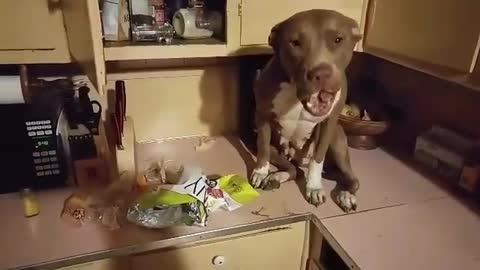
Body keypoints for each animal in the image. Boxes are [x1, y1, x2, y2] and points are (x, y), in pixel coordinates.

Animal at [251, 8, 360, 213]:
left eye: (338, 40)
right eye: (295, 42)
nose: (321, 74)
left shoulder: (329, 123)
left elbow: (317, 159)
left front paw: (314, 187)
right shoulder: (262, 116)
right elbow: (262, 147)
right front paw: (261, 172)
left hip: (337, 141)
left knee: (352, 179)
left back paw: (346, 195)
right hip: (277, 148)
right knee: (294, 169)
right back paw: (275, 177)